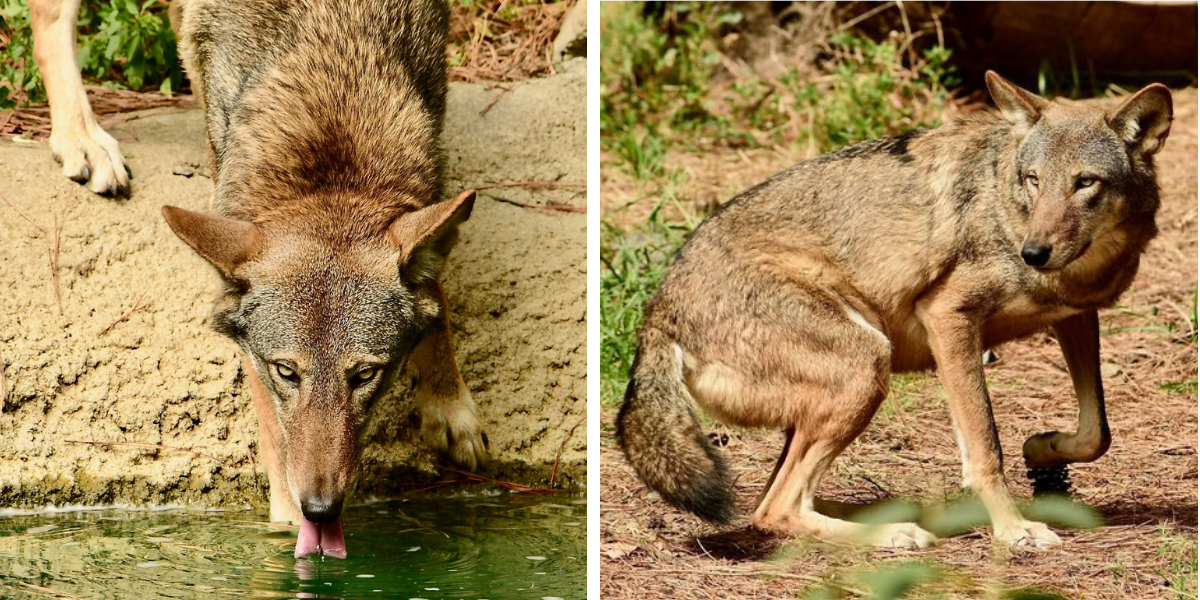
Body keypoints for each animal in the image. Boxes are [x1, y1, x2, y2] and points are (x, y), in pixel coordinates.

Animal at [30, 0, 488, 558]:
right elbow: (274, 429)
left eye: (364, 375)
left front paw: (449, 407)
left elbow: (435, 291)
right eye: (285, 372)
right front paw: (290, 521)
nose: (321, 509)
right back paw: (82, 138)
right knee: (50, 20)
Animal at [618, 72, 1172, 549]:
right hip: (867, 365)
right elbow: (985, 448)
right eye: (1034, 180)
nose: (1033, 253)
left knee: (774, 500)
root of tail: (657, 313)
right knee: (775, 509)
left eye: (1085, 182)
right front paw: (1014, 530)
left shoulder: (1076, 316)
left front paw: (1043, 449)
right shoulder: (949, 317)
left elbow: (1097, 431)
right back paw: (894, 533)